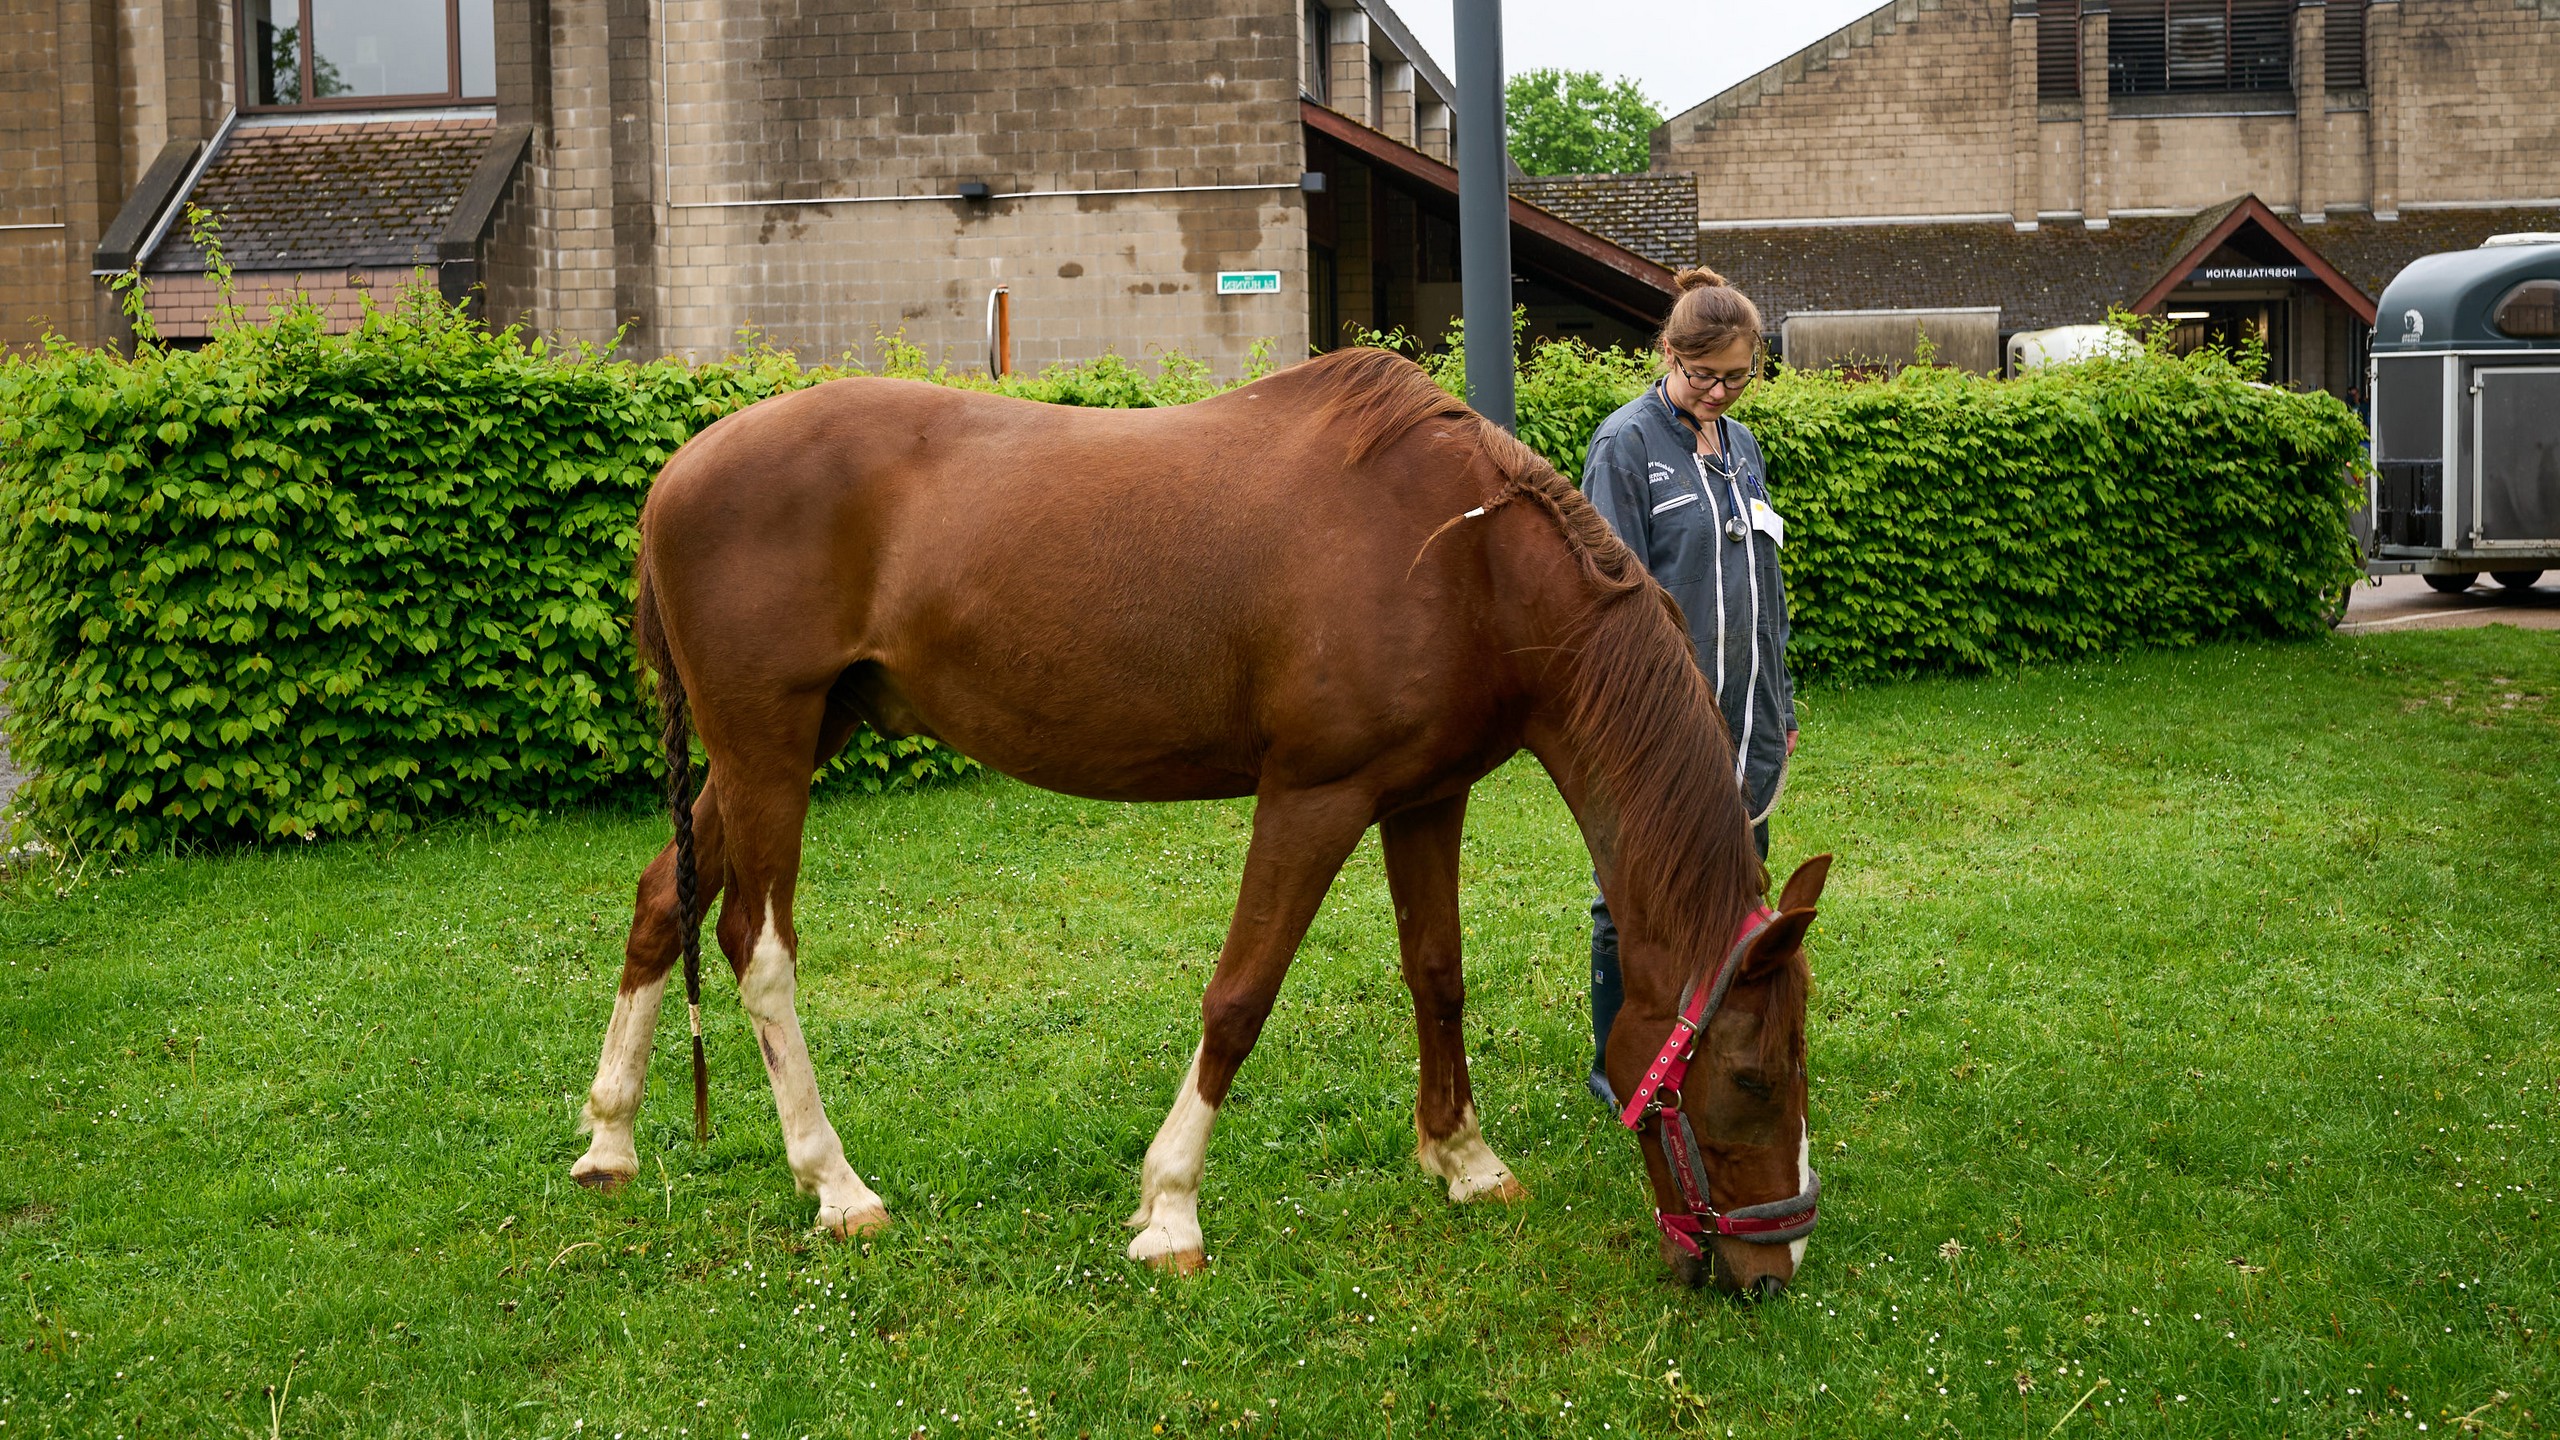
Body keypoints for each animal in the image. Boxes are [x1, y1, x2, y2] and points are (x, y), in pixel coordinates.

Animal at [566, 347, 1832, 1293]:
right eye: (1752, 1080)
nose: (1772, 1268)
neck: (1466, 556)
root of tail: (677, 473)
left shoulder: (1427, 798)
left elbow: (1437, 973)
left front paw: (1465, 1160)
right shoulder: (1313, 799)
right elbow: (1240, 996)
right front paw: (1169, 1210)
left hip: (777, 747)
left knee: (661, 900)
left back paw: (610, 1140)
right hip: (769, 750)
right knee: (754, 945)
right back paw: (835, 1187)